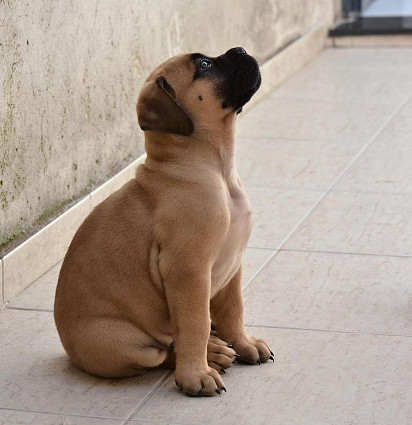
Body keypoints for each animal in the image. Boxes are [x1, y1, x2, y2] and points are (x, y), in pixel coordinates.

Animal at [54, 48, 274, 396]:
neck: (214, 172)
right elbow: (196, 325)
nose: (240, 49)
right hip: (119, 340)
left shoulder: (233, 265)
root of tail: (69, 349)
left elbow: (232, 310)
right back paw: (209, 356)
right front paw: (196, 375)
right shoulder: (188, 271)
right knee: (160, 353)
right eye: (204, 65)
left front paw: (245, 343)